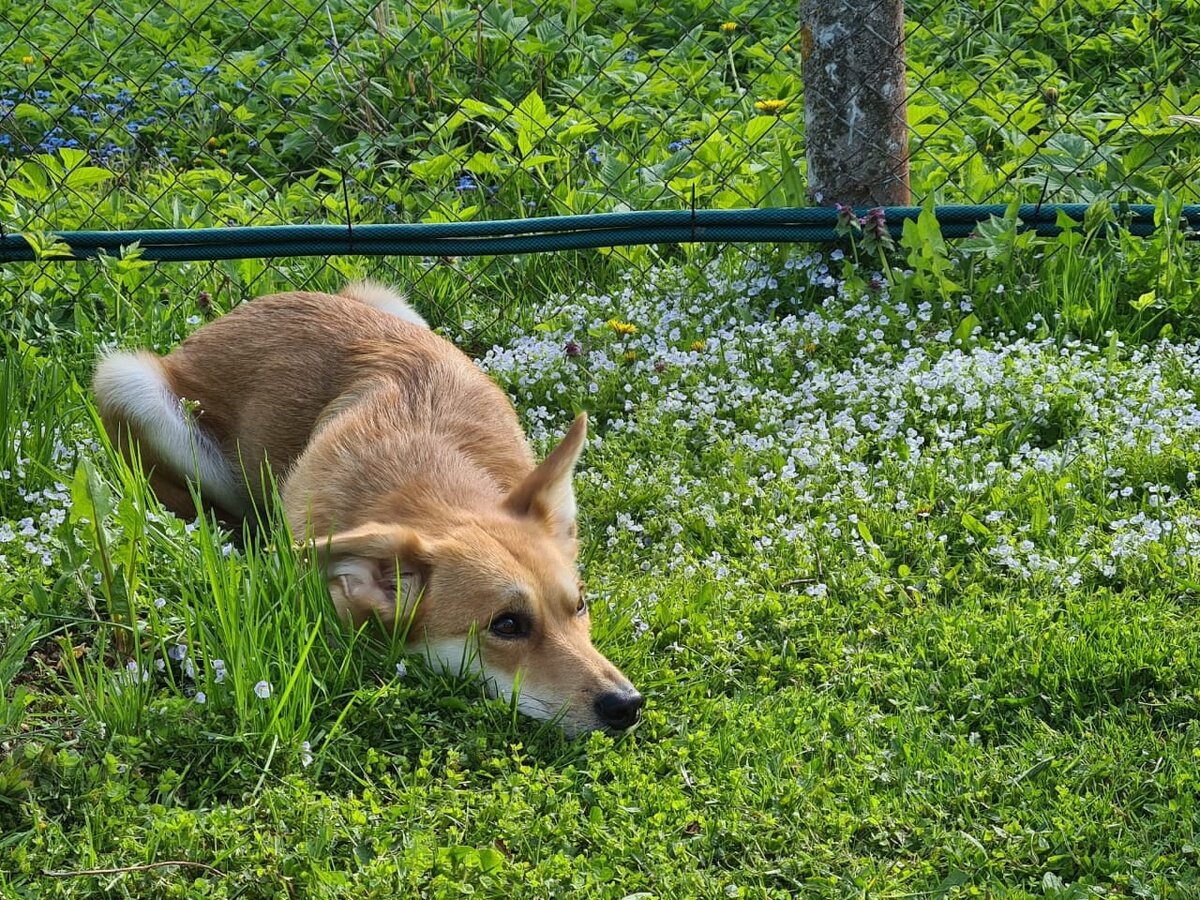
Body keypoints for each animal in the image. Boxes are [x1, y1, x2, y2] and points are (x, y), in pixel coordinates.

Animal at [91, 280, 648, 734]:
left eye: (579, 605)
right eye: (507, 625)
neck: (431, 483)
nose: (627, 705)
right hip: (127, 384)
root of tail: (229, 316)